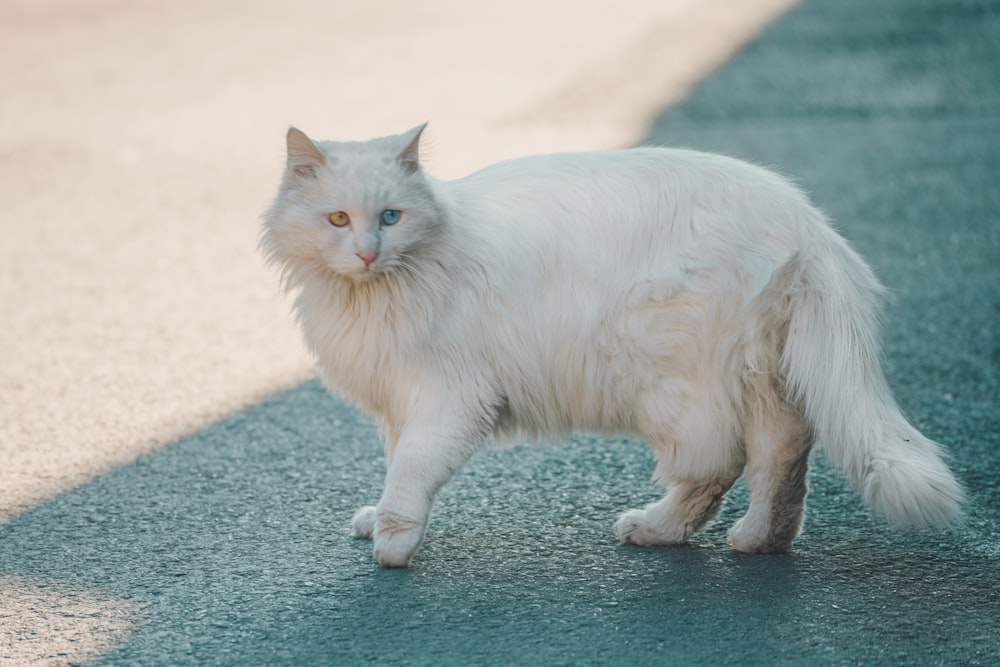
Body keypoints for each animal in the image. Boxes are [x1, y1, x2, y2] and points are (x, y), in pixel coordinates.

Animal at [262, 124, 964, 568]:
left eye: (391, 217)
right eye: (338, 219)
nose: (366, 252)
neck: (372, 294)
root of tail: (807, 221)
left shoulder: (447, 400)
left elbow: (410, 473)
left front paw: (393, 543)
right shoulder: (399, 399)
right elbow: (395, 465)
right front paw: (376, 517)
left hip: (672, 379)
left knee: (718, 463)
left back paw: (655, 529)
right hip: (760, 373)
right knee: (782, 455)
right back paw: (760, 541)